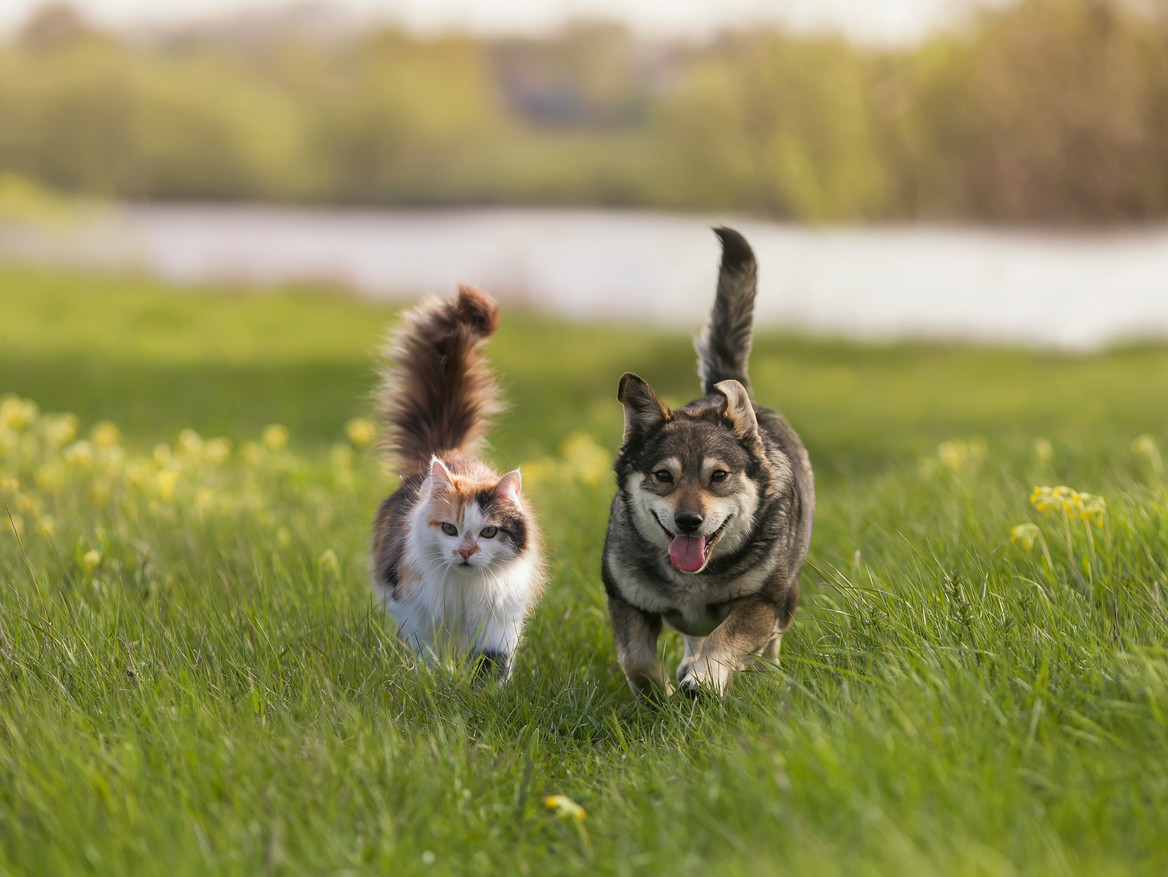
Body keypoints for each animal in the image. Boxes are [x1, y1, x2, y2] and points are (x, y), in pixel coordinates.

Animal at [369, 284, 541, 681]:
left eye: (489, 532)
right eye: (449, 528)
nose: (465, 552)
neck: (464, 591)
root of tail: (448, 452)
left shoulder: (500, 620)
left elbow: (492, 661)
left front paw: (485, 691)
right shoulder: (413, 608)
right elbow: (426, 654)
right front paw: (432, 681)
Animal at [602, 227, 812, 700]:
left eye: (719, 476)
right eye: (663, 476)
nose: (688, 521)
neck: (693, 579)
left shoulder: (763, 601)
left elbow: (728, 636)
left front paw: (705, 678)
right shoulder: (627, 600)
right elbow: (636, 660)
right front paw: (658, 695)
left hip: (787, 594)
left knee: (768, 642)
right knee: (691, 636)